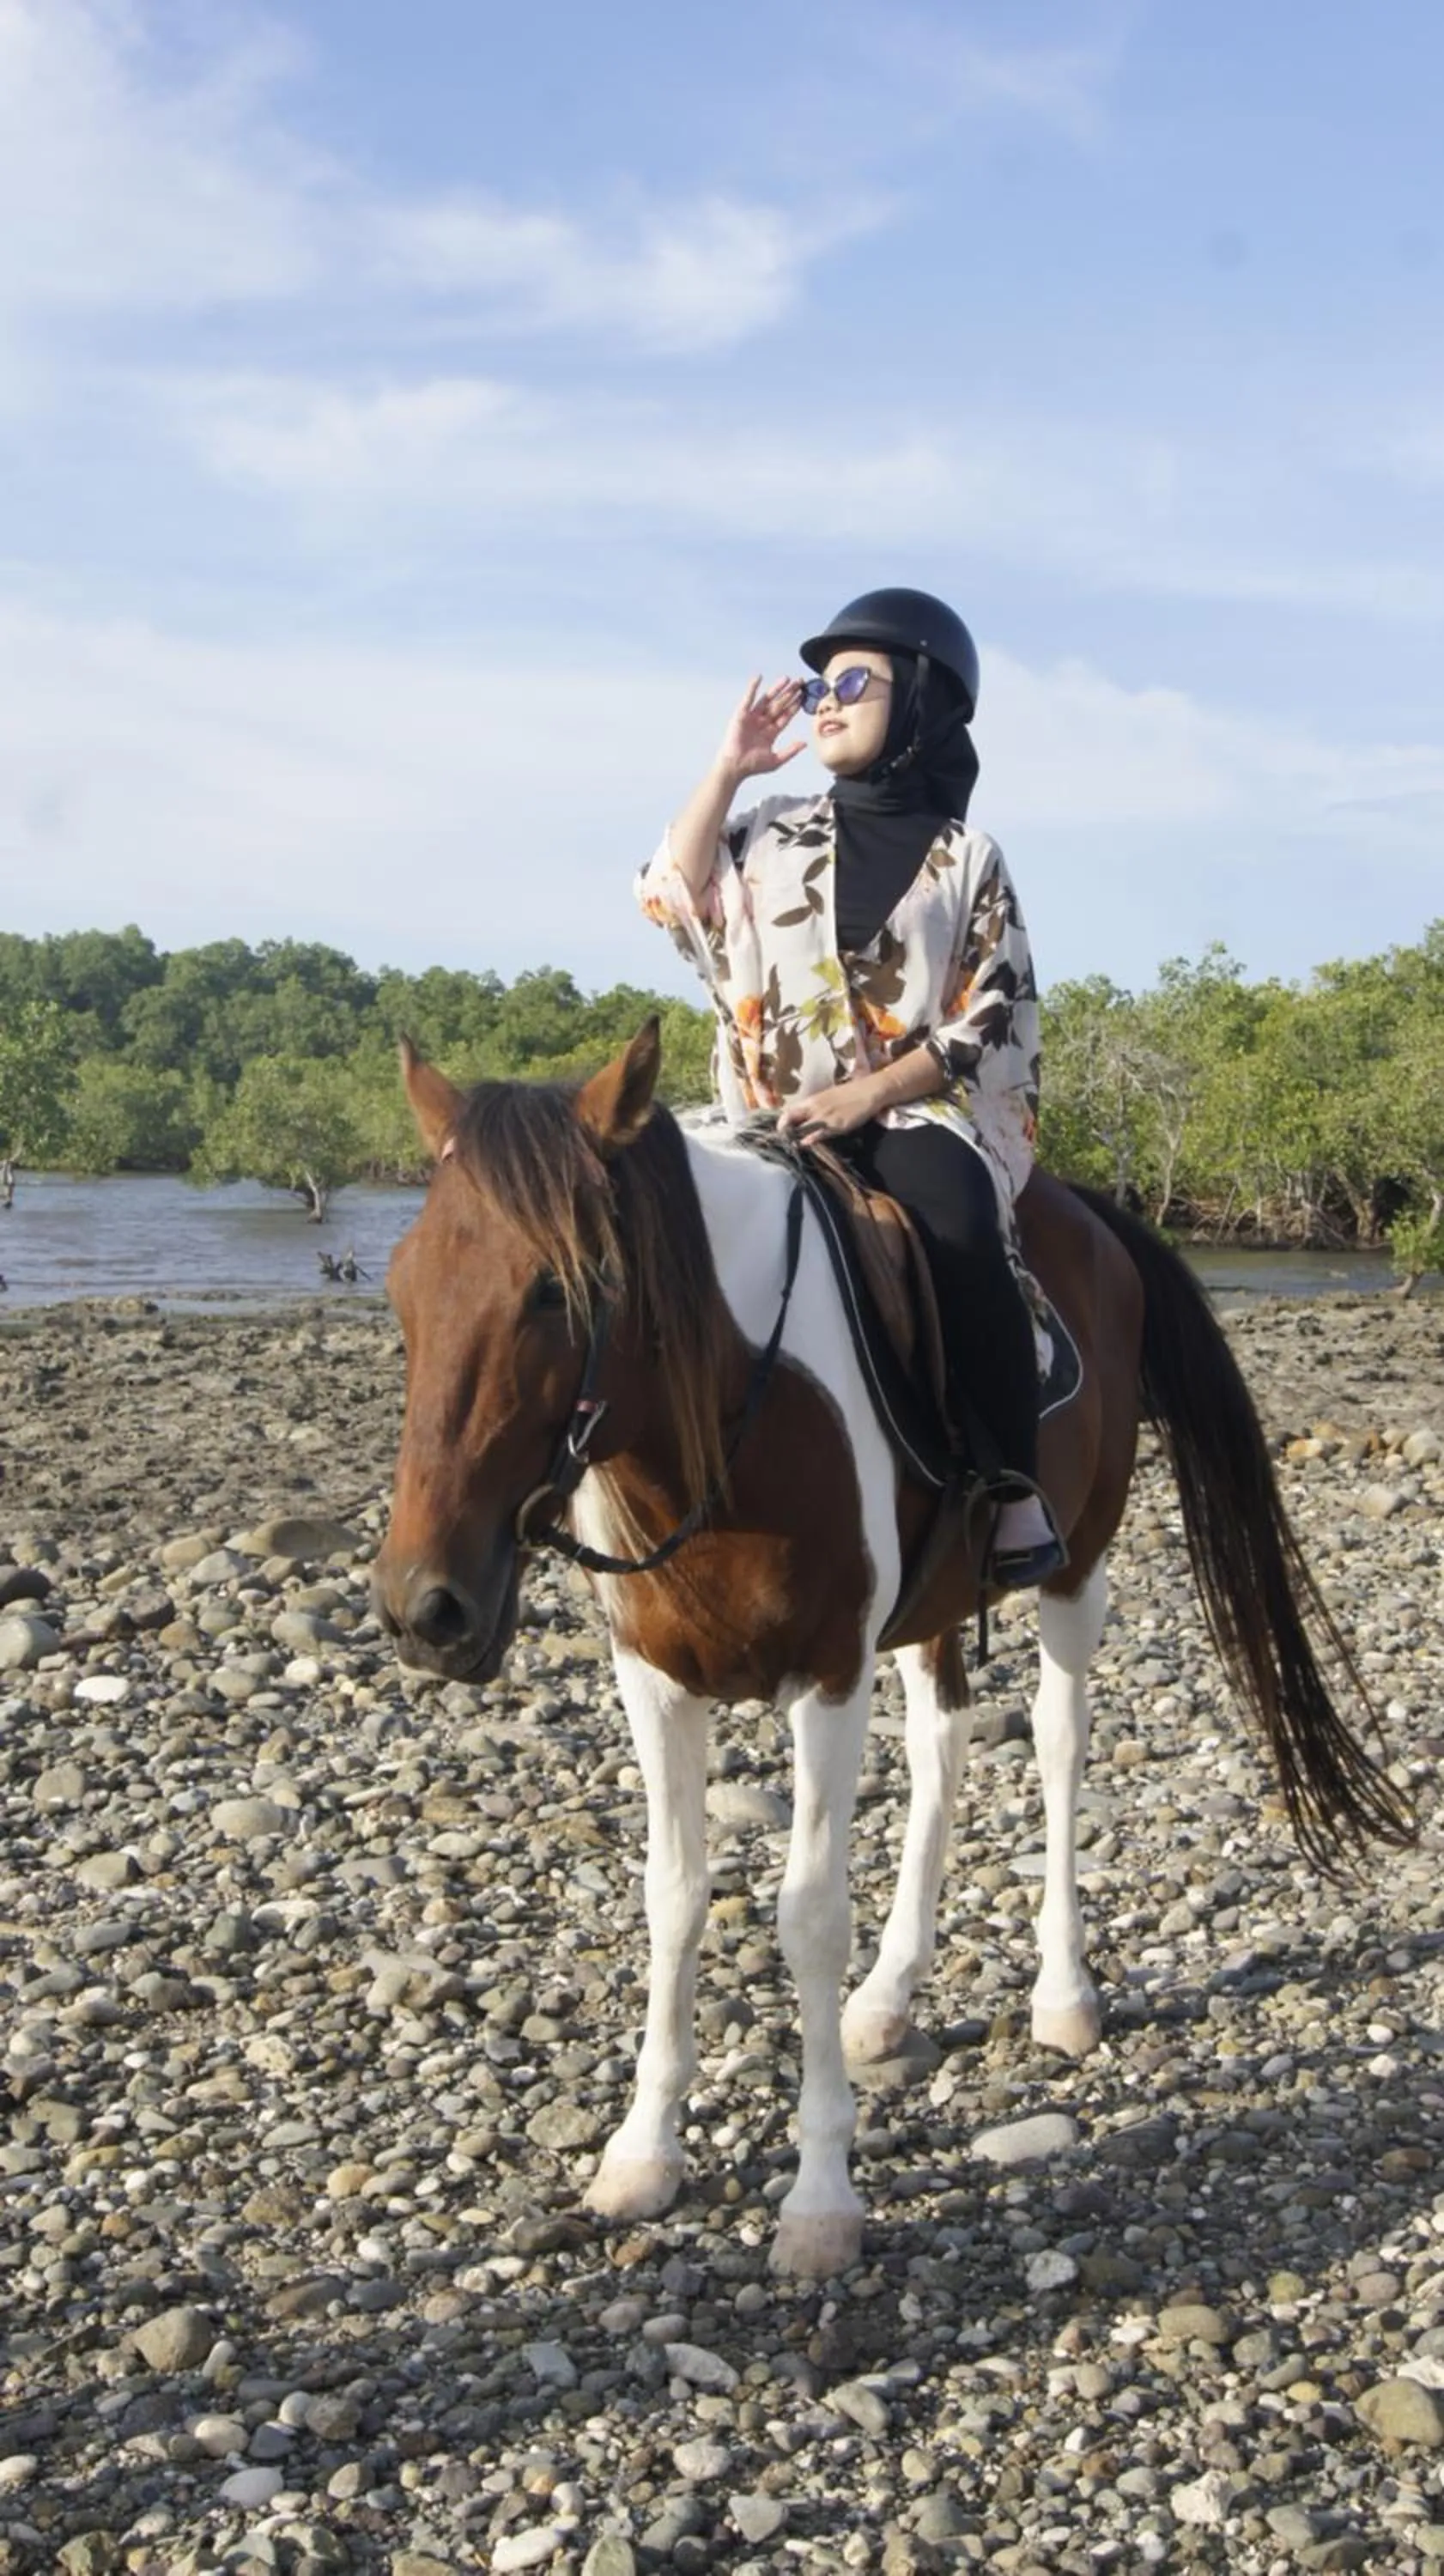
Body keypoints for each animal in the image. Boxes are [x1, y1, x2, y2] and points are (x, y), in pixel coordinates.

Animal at [372, 1022, 1413, 2279]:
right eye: (402, 1286)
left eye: (556, 1288)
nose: (425, 1607)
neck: (733, 1409)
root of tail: (1092, 1215)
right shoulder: (655, 1685)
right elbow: (673, 1896)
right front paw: (641, 2152)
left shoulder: (828, 1675)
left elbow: (808, 1915)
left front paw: (821, 2196)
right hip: (927, 1612)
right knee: (941, 1748)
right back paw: (890, 1995)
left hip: (1074, 1572)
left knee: (1057, 1747)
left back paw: (1061, 1992)